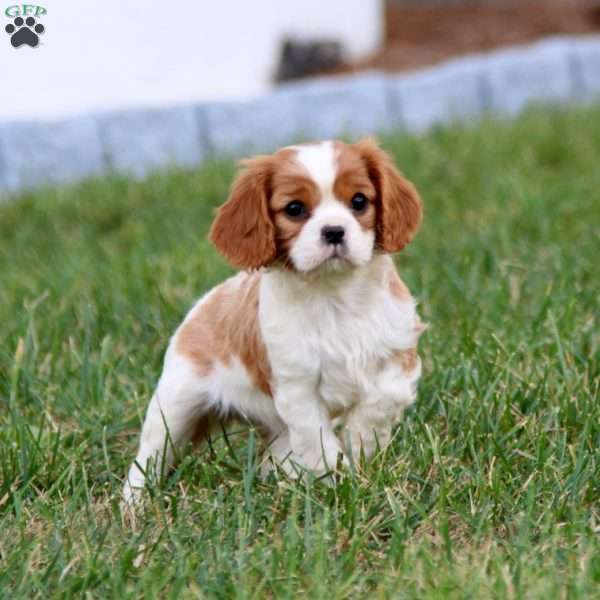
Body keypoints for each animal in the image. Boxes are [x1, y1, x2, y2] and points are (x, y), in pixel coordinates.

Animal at [122, 137, 424, 502]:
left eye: (359, 201)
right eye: (294, 209)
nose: (334, 231)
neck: (333, 294)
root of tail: (205, 303)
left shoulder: (398, 355)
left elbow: (380, 403)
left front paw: (360, 449)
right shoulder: (296, 386)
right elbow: (316, 437)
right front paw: (334, 480)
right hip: (175, 407)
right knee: (149, 458)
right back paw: (134, 504)